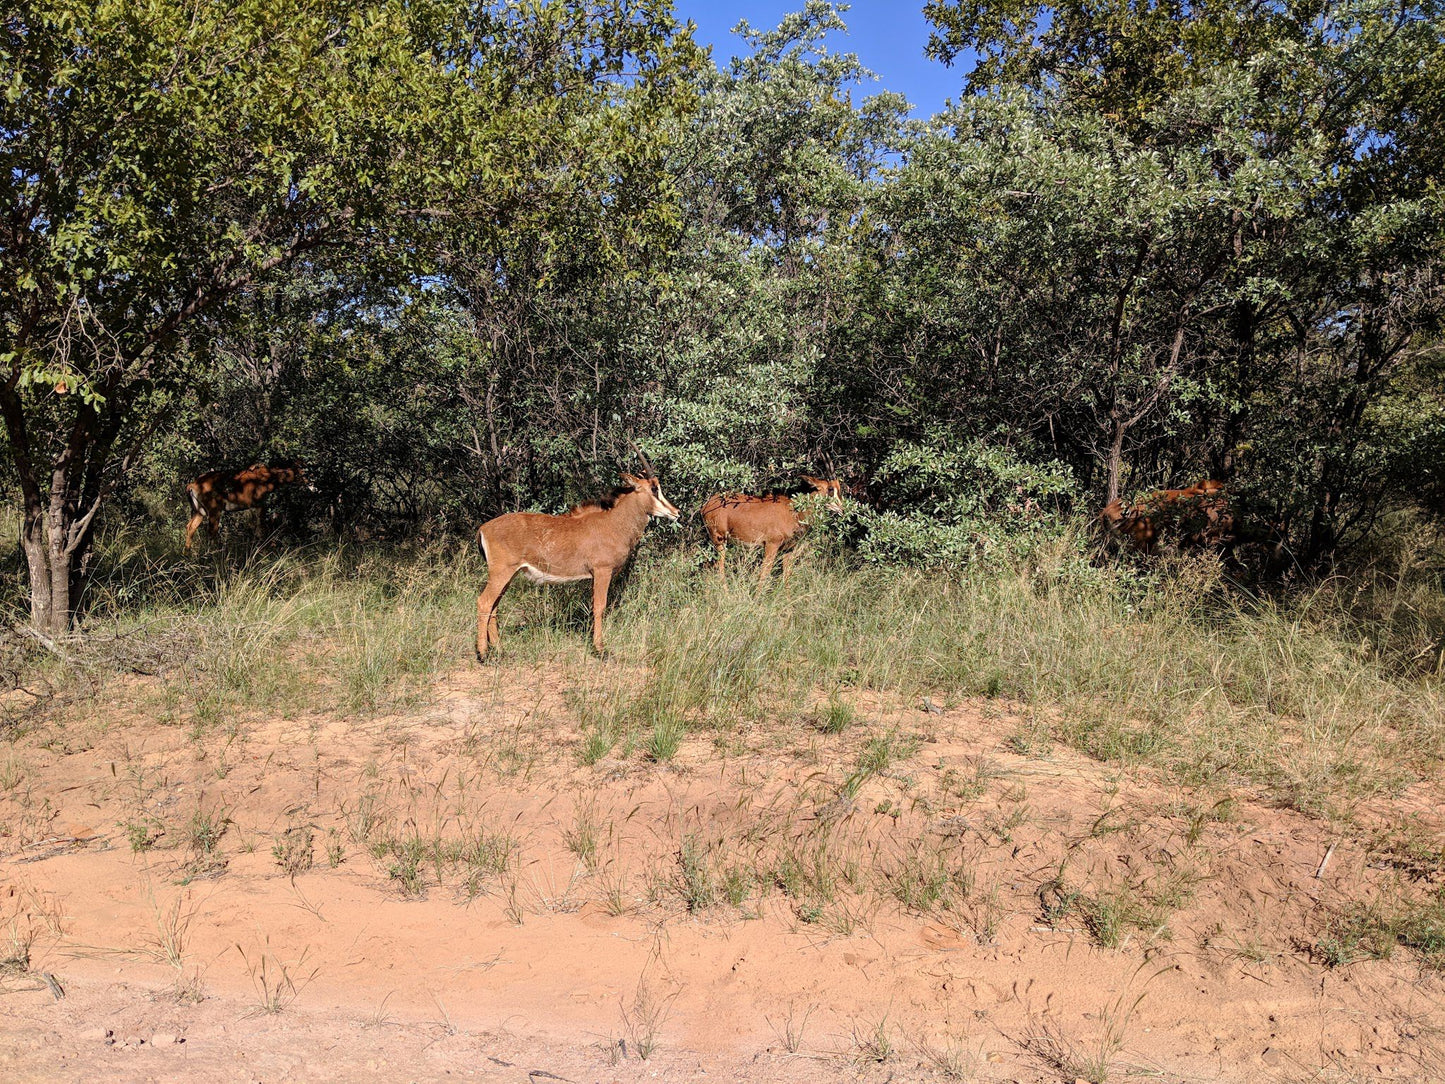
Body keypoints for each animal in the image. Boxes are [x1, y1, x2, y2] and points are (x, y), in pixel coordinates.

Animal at [183, 462, 316, 555]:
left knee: (191, 527)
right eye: (304, 472)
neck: (268, 476)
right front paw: (263, 552)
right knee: (211, 531)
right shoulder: (259, 505)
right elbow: (260, 529)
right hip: (214, 511)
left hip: (199, 512)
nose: (314, 487)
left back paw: (187, 554)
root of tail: (192, 485)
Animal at [473, 462, 676, 659]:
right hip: (501, 572)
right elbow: (599, 607)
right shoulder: (602, 571)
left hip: (509, 575)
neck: (614, 522)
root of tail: (483, 528)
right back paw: (483, 654)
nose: (676, 512)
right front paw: (600, 649)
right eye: (654, 488)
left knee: (494, 606)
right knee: (484, 602)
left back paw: (500, 651)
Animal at [696, 474, 843, 586]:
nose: (842, 509)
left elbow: (787, 575)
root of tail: (706, 506)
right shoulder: (771, 545)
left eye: (839, 489)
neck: (794, 512)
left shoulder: (788, 549)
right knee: (719, 568)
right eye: (830, 489)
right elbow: (764, 574)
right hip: (720, 541)